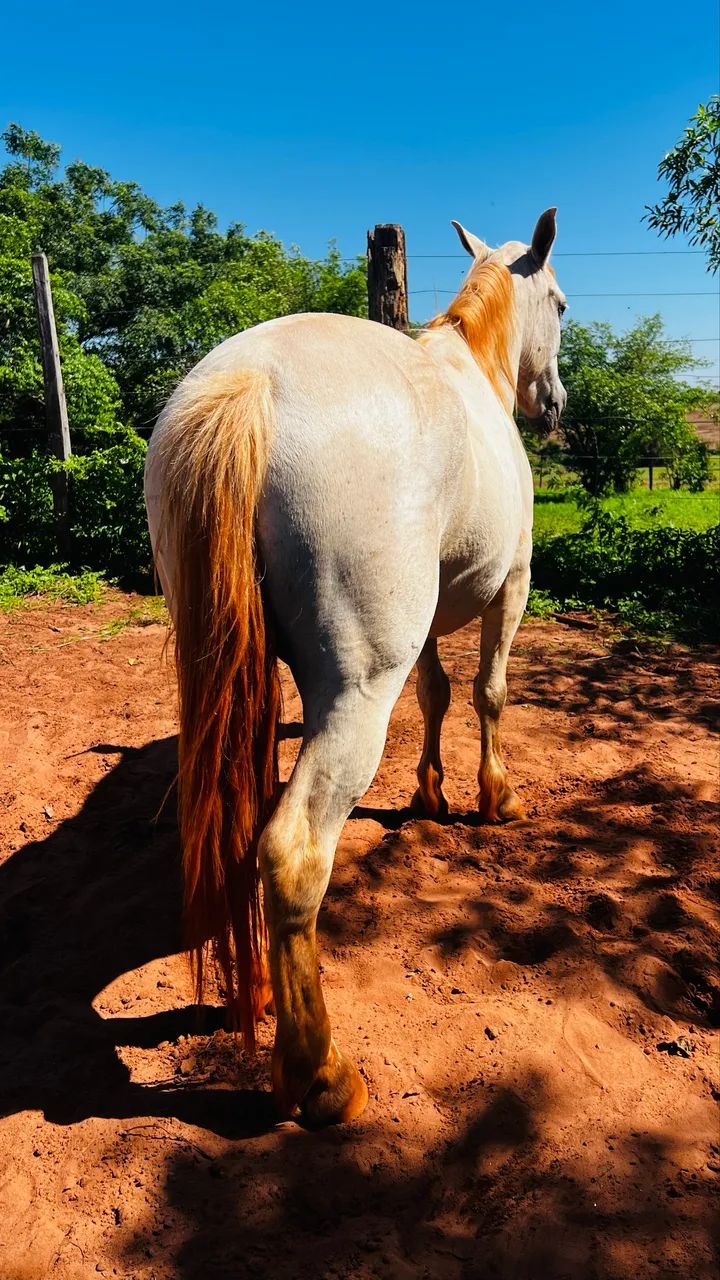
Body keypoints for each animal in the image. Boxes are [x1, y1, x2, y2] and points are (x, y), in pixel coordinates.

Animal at [144, 208, 567, 1128]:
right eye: (559, 302)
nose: (555, 404)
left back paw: (262, 997)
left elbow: (438, 693)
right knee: (293, 851)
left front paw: (429, 794)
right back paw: (320, 1074)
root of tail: (250, 385)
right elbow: (487, 693)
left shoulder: (435, 619)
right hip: (356, 692)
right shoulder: (511, 587)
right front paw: (495, 798)